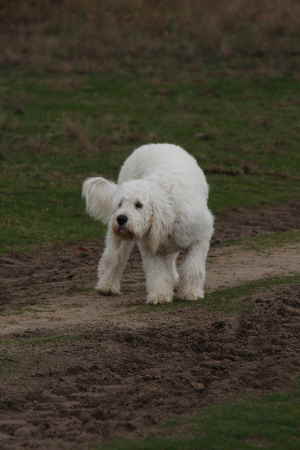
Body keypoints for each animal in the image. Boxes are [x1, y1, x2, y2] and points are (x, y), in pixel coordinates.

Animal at [82, 144, 213, 306]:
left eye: (138, 205)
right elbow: (157, 273)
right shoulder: (150, 249)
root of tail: (154, 144)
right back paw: (107, 285)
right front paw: (160, 295)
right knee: (114, 256)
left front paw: (190, 293)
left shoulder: (199, 240)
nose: (121, 219)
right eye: (120, 204)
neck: (169, 208)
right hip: (120, 238)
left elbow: (192, 269)